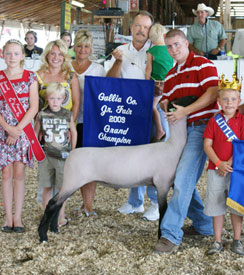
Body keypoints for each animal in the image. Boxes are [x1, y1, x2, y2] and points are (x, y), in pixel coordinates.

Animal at [37, 116, 187, 244]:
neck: (172, 147)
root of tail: (70, 155)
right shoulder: (162, 184)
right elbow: (164, 211)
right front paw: (161, 236)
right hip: (72, 182)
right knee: (52, 203)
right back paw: (43, 236)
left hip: (69, 183)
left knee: (58, 204)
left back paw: (54, 229)